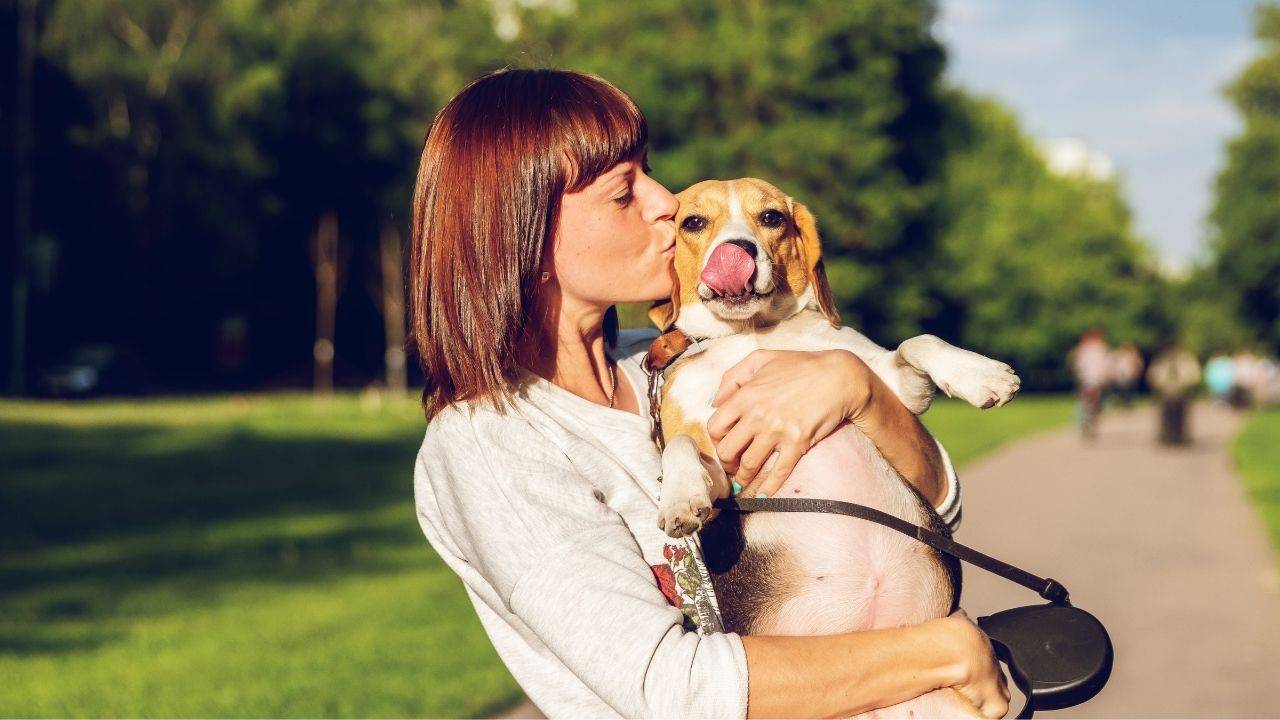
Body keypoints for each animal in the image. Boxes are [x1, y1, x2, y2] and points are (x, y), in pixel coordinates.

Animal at [650, 178, 1018, 712]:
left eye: (772, 218)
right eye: (693, 222)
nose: (737, 251)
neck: (754, 334)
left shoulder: (892, 384)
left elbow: (918, 341)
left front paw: (980, 374)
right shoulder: (723, 472)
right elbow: (678, 444)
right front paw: (680, 499)